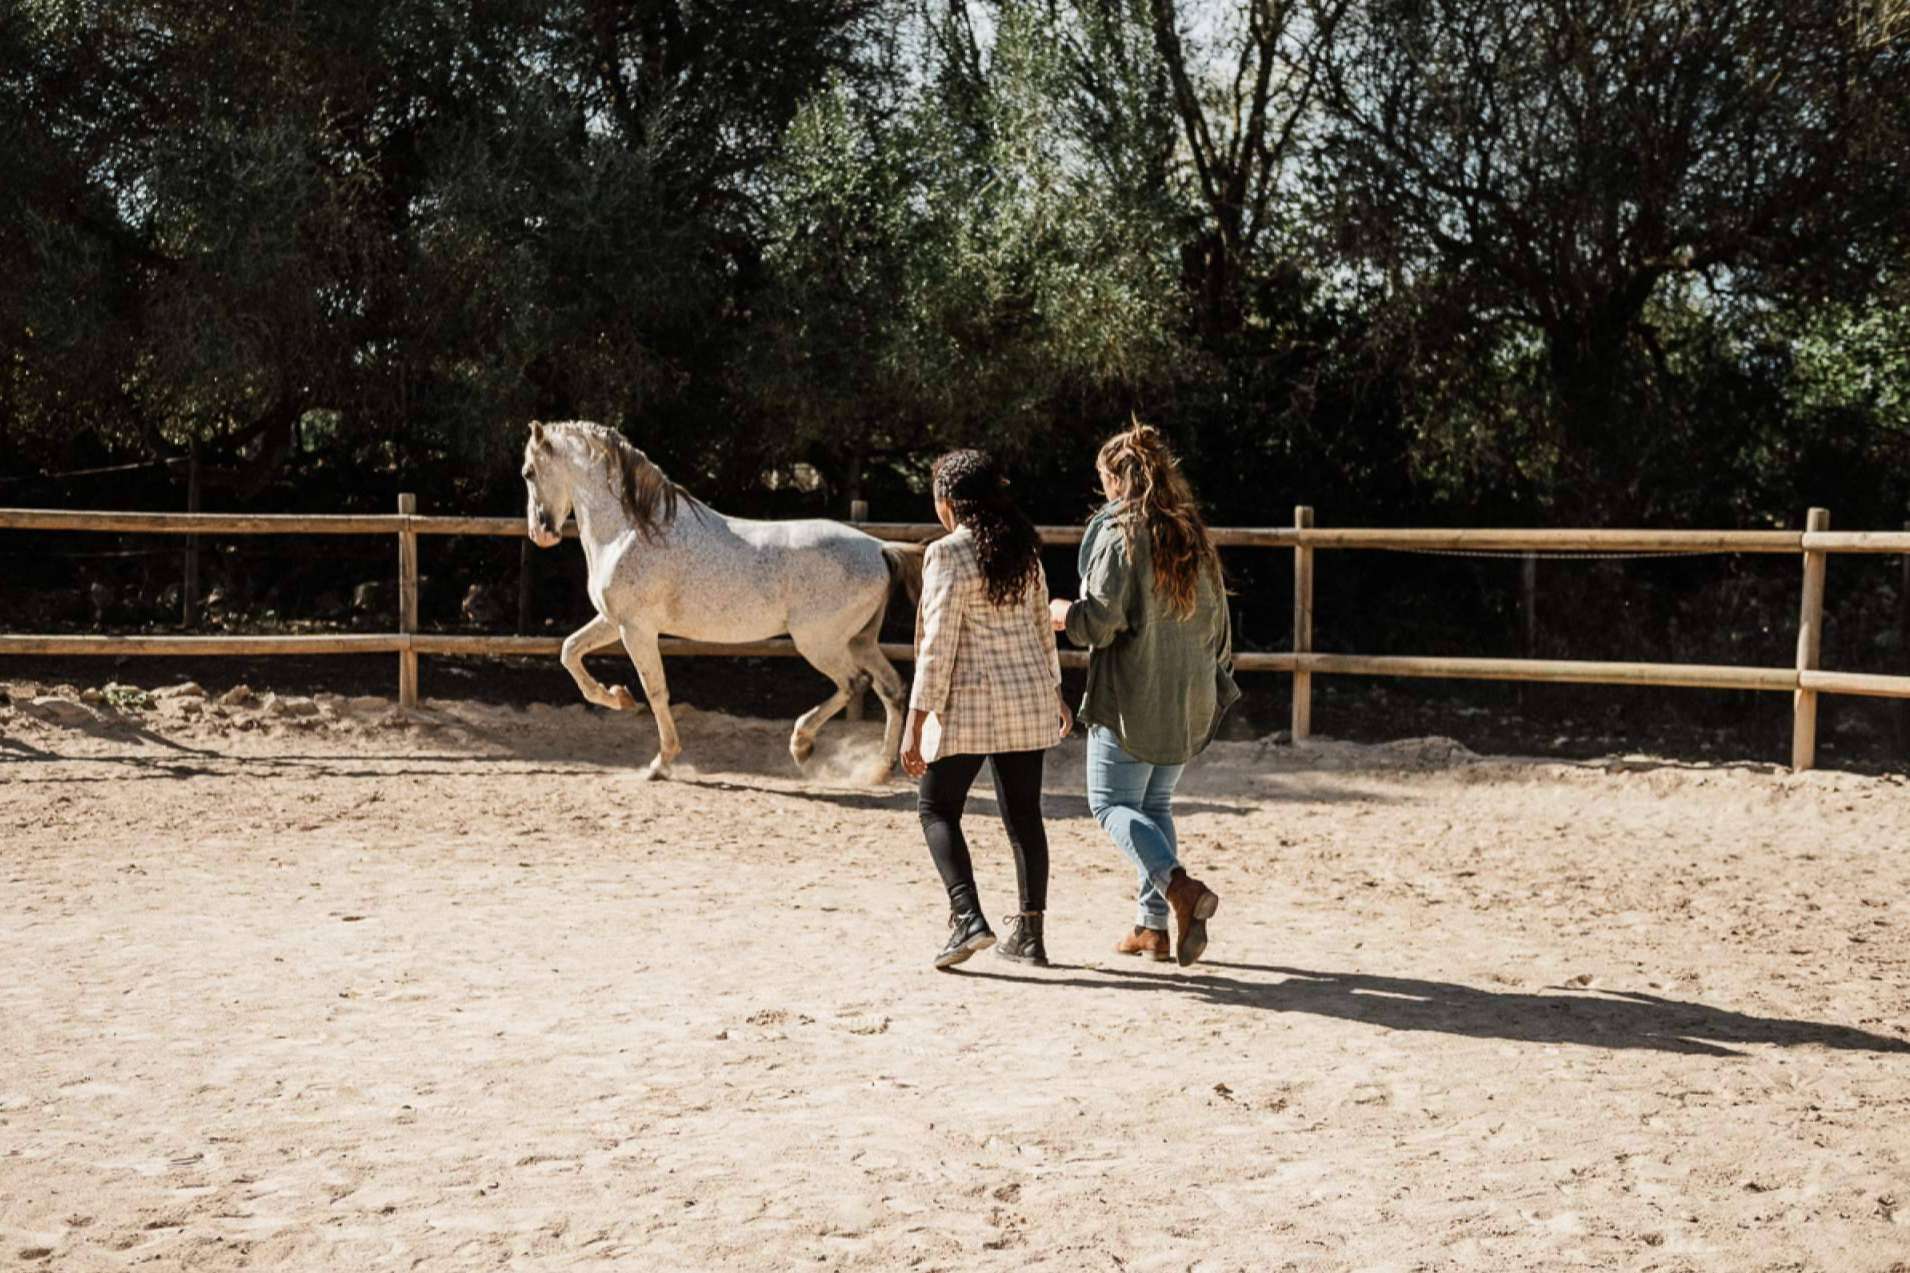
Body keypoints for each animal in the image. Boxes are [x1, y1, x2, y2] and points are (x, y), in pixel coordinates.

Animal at [520, 420, 923, 781]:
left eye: (528, 472)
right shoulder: (612, 621)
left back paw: (802, 745)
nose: (540, 533)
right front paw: (618, 697)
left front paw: (661, 762)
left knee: (855, 683)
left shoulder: (636, 629)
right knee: (892, 688)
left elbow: (656, 690)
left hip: (819, 642)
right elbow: (569, 651)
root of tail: (879, 547)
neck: (631, 531)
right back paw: (878, 770)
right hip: (859, 640)